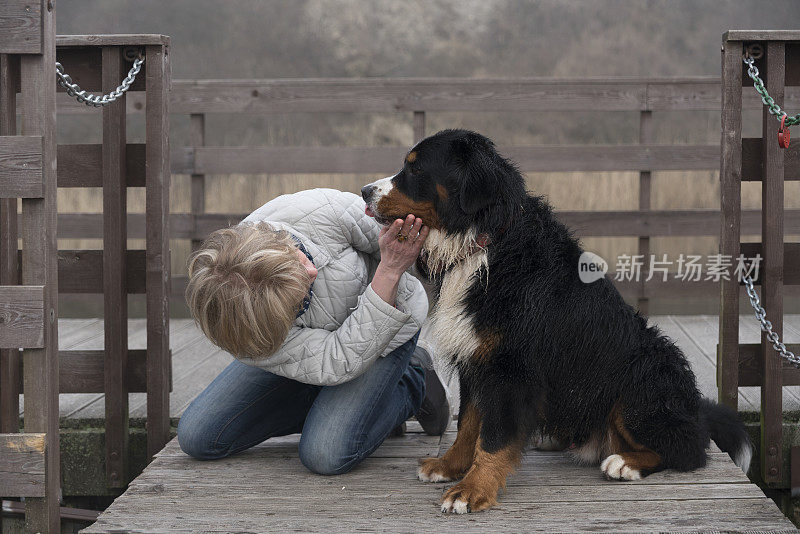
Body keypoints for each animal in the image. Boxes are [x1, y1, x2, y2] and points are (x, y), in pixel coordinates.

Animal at [360, 129, 752, 516]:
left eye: (415, 169)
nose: (364, 191)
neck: (483, 243)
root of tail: (695, 408)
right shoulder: (475, 355)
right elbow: (469, 423)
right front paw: (449, 466)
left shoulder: (509, 367)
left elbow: (493, 436)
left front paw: (472, 490)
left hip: (643, 380)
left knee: (689, 448)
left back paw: (625, 463)